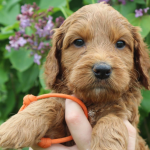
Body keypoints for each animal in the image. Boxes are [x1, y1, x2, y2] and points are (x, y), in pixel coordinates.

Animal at [0, 2, 150, 150]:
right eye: (78, 42)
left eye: (120, 43)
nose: (102, 70)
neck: (92, 103)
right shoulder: (55, 134)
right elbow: (50, 103)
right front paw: (14, 126)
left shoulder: (126, 118)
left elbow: (111, 120)